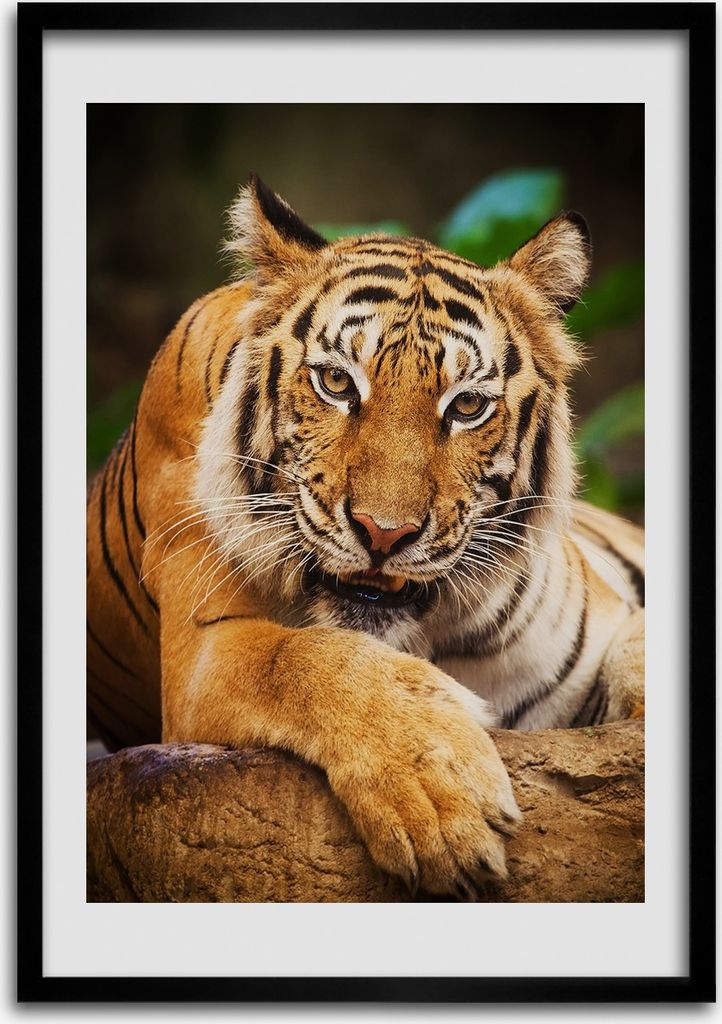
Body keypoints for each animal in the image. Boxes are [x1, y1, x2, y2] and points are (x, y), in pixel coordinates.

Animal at [87, 175, 644, 899]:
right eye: (335, 383)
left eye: (467, 406)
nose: (385, 532)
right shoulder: (201, 652)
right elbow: (307, 658)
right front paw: (442, 801)